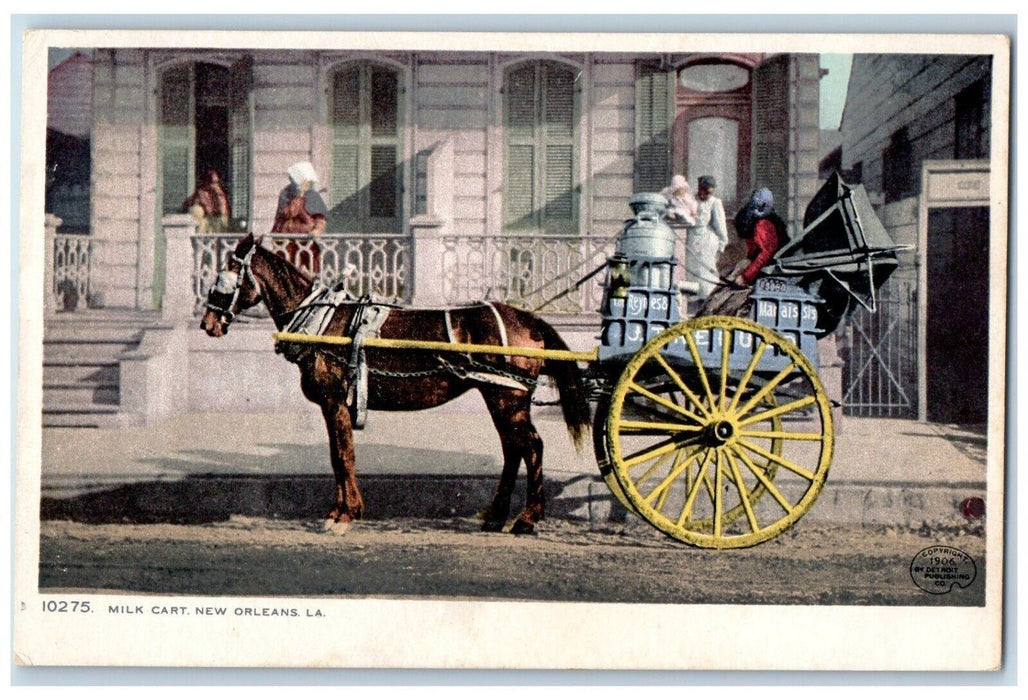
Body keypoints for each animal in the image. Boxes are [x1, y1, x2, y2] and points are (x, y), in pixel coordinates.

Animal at [199, 232, 592, 530]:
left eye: (225, 277)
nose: (208, 324)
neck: (324, 322)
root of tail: (527, 319)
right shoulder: (332, 406)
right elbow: (335, 456)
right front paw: (338, 510)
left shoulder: (334, 402)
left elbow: (343, 455)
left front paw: (347, 514)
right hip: (500, 397)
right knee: (513, 449)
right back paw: (495, 515)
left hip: (507, 398)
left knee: (532, 446)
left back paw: (527, 518)